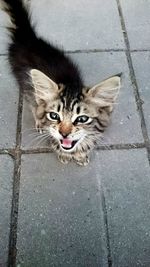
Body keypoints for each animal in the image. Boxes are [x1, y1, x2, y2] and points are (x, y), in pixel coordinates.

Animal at [0, 0, 120, 165]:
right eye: (54, 116)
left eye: (82, 119)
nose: (63, 134)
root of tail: (28, 38)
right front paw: (64, 154)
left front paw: (81, 154)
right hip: (26, 86)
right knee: (33, 104)